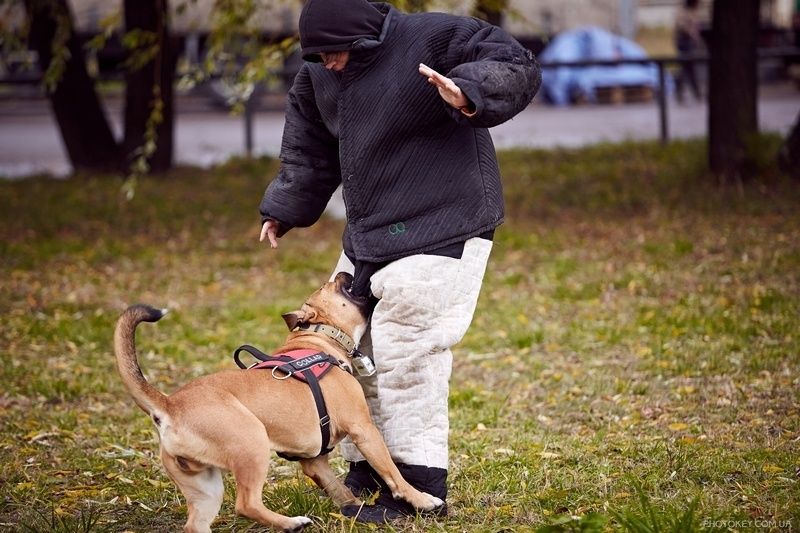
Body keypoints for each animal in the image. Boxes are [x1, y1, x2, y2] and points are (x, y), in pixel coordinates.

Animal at [114, 272, 444, 528]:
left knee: (197, 524)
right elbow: (391, 471)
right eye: (330, 284)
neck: (320, 339)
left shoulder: (314, 461)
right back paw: (291, 523)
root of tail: (169, 405)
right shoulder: (364, 430)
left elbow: (340, 491)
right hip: (251, 444)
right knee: (246, 504)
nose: (345, 272)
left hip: (204, 486)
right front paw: (420, 499)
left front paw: (357, 510)